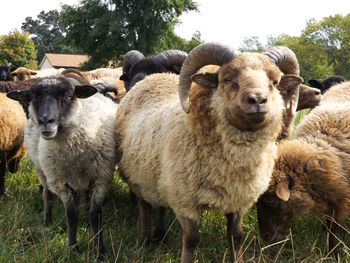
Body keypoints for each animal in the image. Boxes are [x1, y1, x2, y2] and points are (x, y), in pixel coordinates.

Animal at [6, 76, 118, 260]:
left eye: (68, 96)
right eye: (33, 98)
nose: (46, 122)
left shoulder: (102, 178)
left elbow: (95, 214)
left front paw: (99, 251)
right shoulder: (59, 182)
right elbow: (71, 214)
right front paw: (72, 247)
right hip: (42, 171)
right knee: (46, 195)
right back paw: (47, 221)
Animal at [116, 42, 302, 262]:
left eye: (274, 81)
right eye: (227, 79)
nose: (258, 99)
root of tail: (150, 80)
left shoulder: (239, 198)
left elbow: (236, 236)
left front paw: (237, 258)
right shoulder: (184, 199)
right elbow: (191, 239)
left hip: (157, 178)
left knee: (160, 206)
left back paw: (160, 236)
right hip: (139, 178)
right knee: (144, 209)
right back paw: (145, 240)